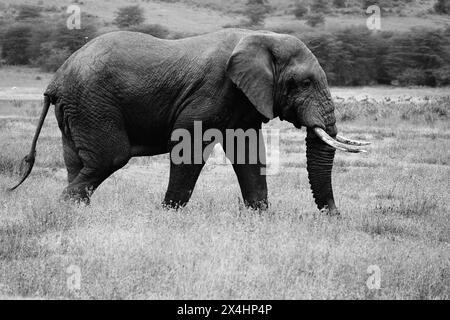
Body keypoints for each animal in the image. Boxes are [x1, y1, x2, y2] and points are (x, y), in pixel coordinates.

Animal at [10, 28, 370, 215]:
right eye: (304, 83)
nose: (335, 216)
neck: (261, 38)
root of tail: (55, 80)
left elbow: (249, 154)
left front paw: (259, 216)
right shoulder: (214, 88)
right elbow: (188, 145)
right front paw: (169, 214)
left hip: (77, 108)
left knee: (77, 161)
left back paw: (75, 213)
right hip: (92, 101)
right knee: (110, 157)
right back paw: (65, 209)